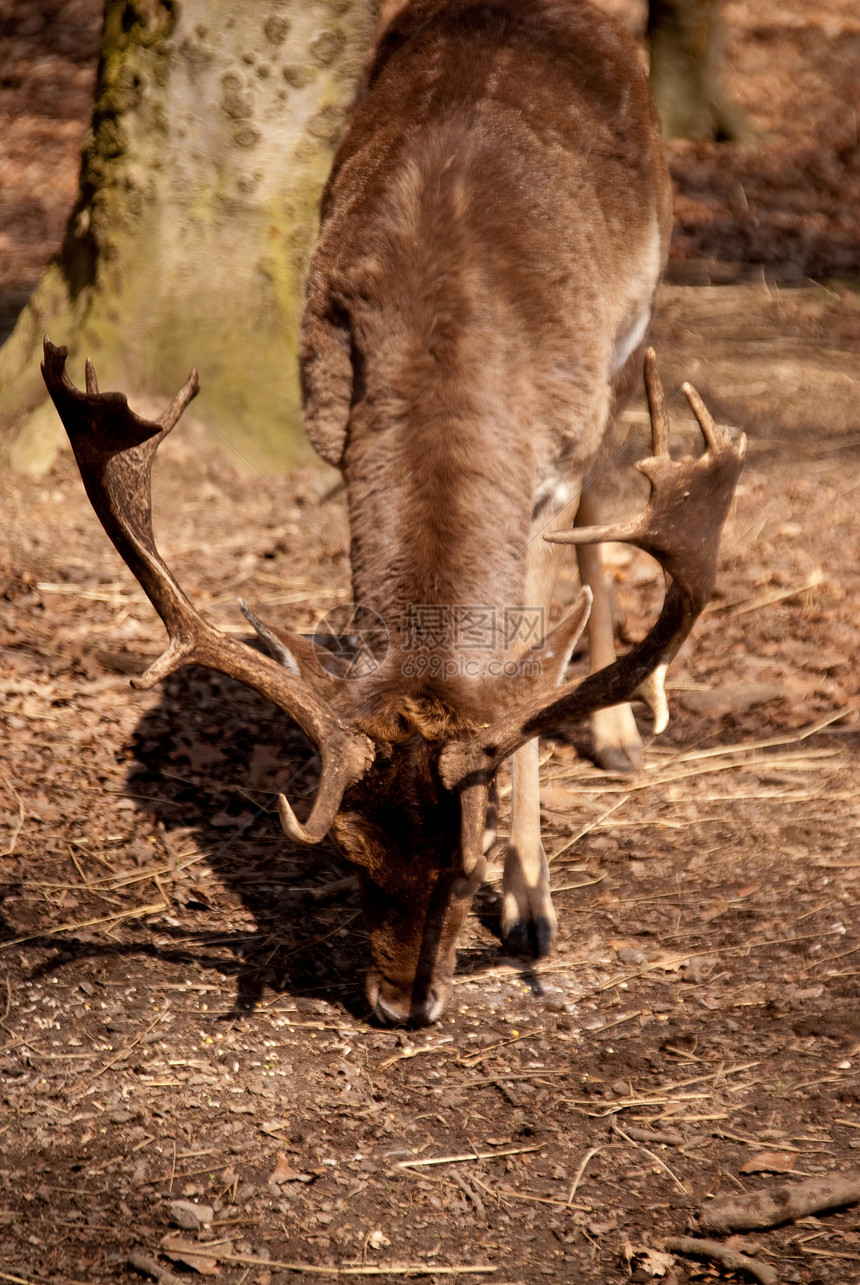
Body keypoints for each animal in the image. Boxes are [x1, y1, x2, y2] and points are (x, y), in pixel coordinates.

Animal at [41, 0, 745, 1022]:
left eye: (469, 861)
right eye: (352, 856)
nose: (403, 1005)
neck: (453, 331)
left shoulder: (554, 463)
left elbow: (530, 654)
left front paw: (532, 906)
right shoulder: (332, 432)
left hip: (631, 331)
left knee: (608, 497)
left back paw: (618, 732)